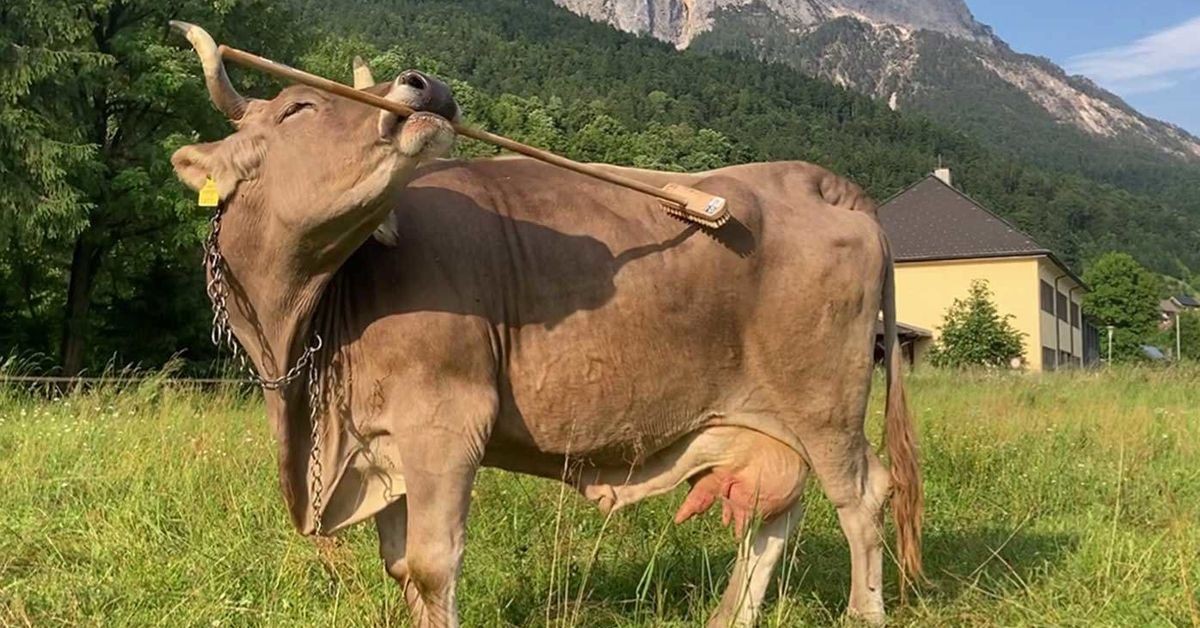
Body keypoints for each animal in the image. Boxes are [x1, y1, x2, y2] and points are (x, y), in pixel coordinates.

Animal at [170, 22, 922, 628]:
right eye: (297, 107)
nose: (425, 84)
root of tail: (813, 179)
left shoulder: (445, 422)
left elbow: (432, 566)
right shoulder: (378, 442)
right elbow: (400, 567)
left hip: (824, 402)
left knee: (861, 496)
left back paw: (862, 614)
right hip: (772, 415)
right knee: (778, 508)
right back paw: (730, 616)